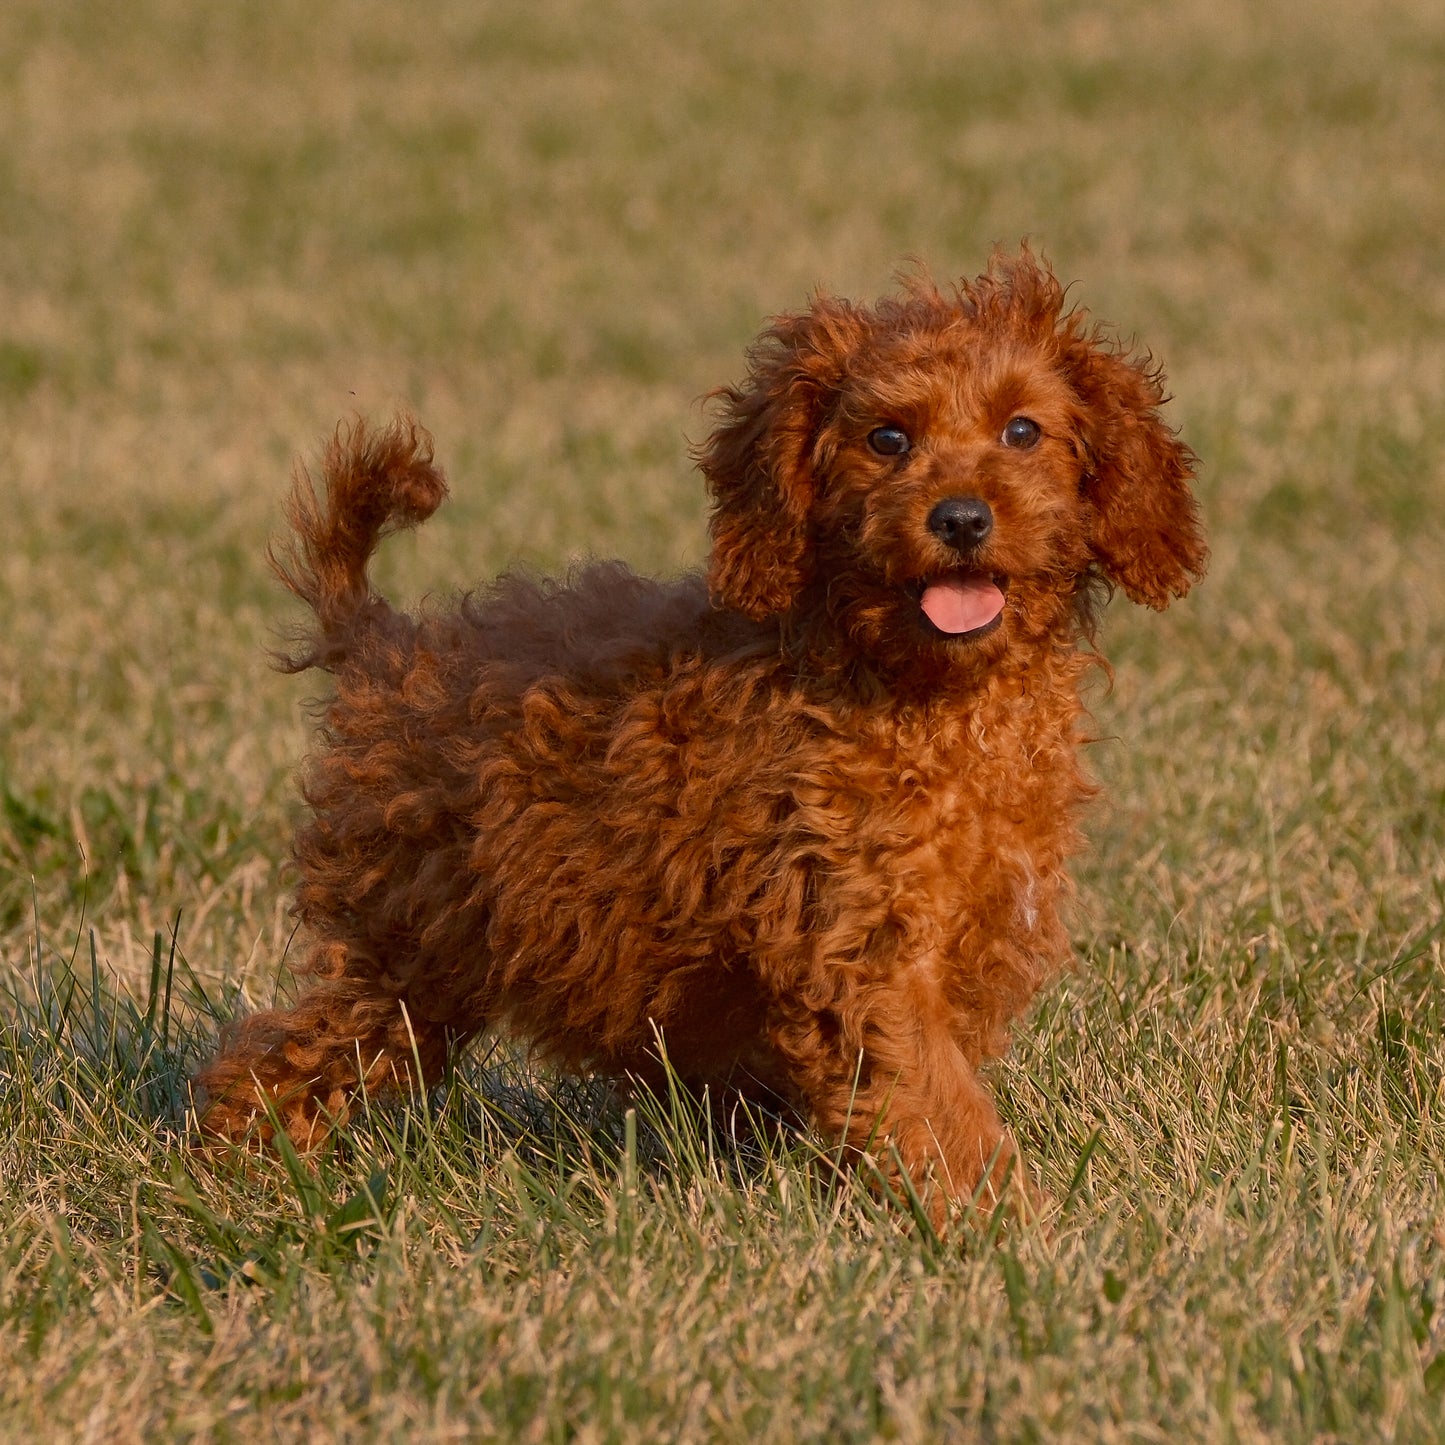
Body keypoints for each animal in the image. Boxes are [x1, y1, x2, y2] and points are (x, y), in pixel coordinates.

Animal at [195, 251, 1208, 1219]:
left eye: (1022, 431)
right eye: (886, 439)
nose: (960, 517)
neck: (923, 690)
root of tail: (384, 643)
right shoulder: (856, 942)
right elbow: (938, 1104)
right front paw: (1010, 1228)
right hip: (410, 943)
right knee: (279, 1056)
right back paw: (234, 1172)